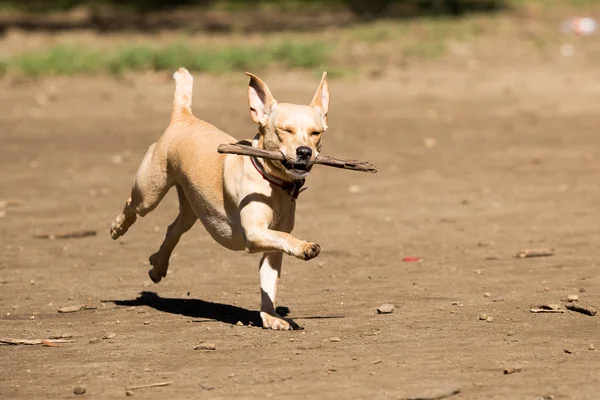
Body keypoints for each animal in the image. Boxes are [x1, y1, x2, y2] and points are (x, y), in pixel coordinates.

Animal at [110, 69, 330, 330]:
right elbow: (285, 239)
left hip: (192, 207)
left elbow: (269, 280)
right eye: (284, 130)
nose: (305, 152)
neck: (271, 182)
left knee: (174, 228)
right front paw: (305, 247)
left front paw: (271, 317)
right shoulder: (254, 233)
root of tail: (183, 117)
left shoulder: (272, 246)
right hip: (149, 193)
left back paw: (158, 266)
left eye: (316, 133)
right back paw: (118, 228)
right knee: (133, 206)